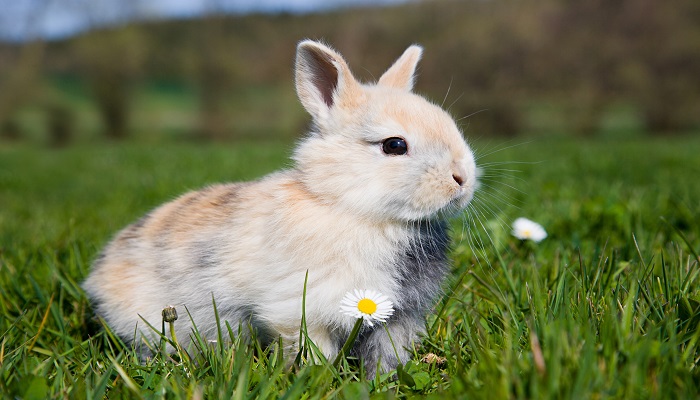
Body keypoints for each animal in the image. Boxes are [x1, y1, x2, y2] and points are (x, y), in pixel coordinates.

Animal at [80, 39, 476, 374]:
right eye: (394, 145)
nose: (463, 179)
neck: (349, 208)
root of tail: (98, 278)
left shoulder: (399, 318)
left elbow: (386, 354)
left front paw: (383, 381)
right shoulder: (300, 310)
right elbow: (312, 348)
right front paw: (316, 377)